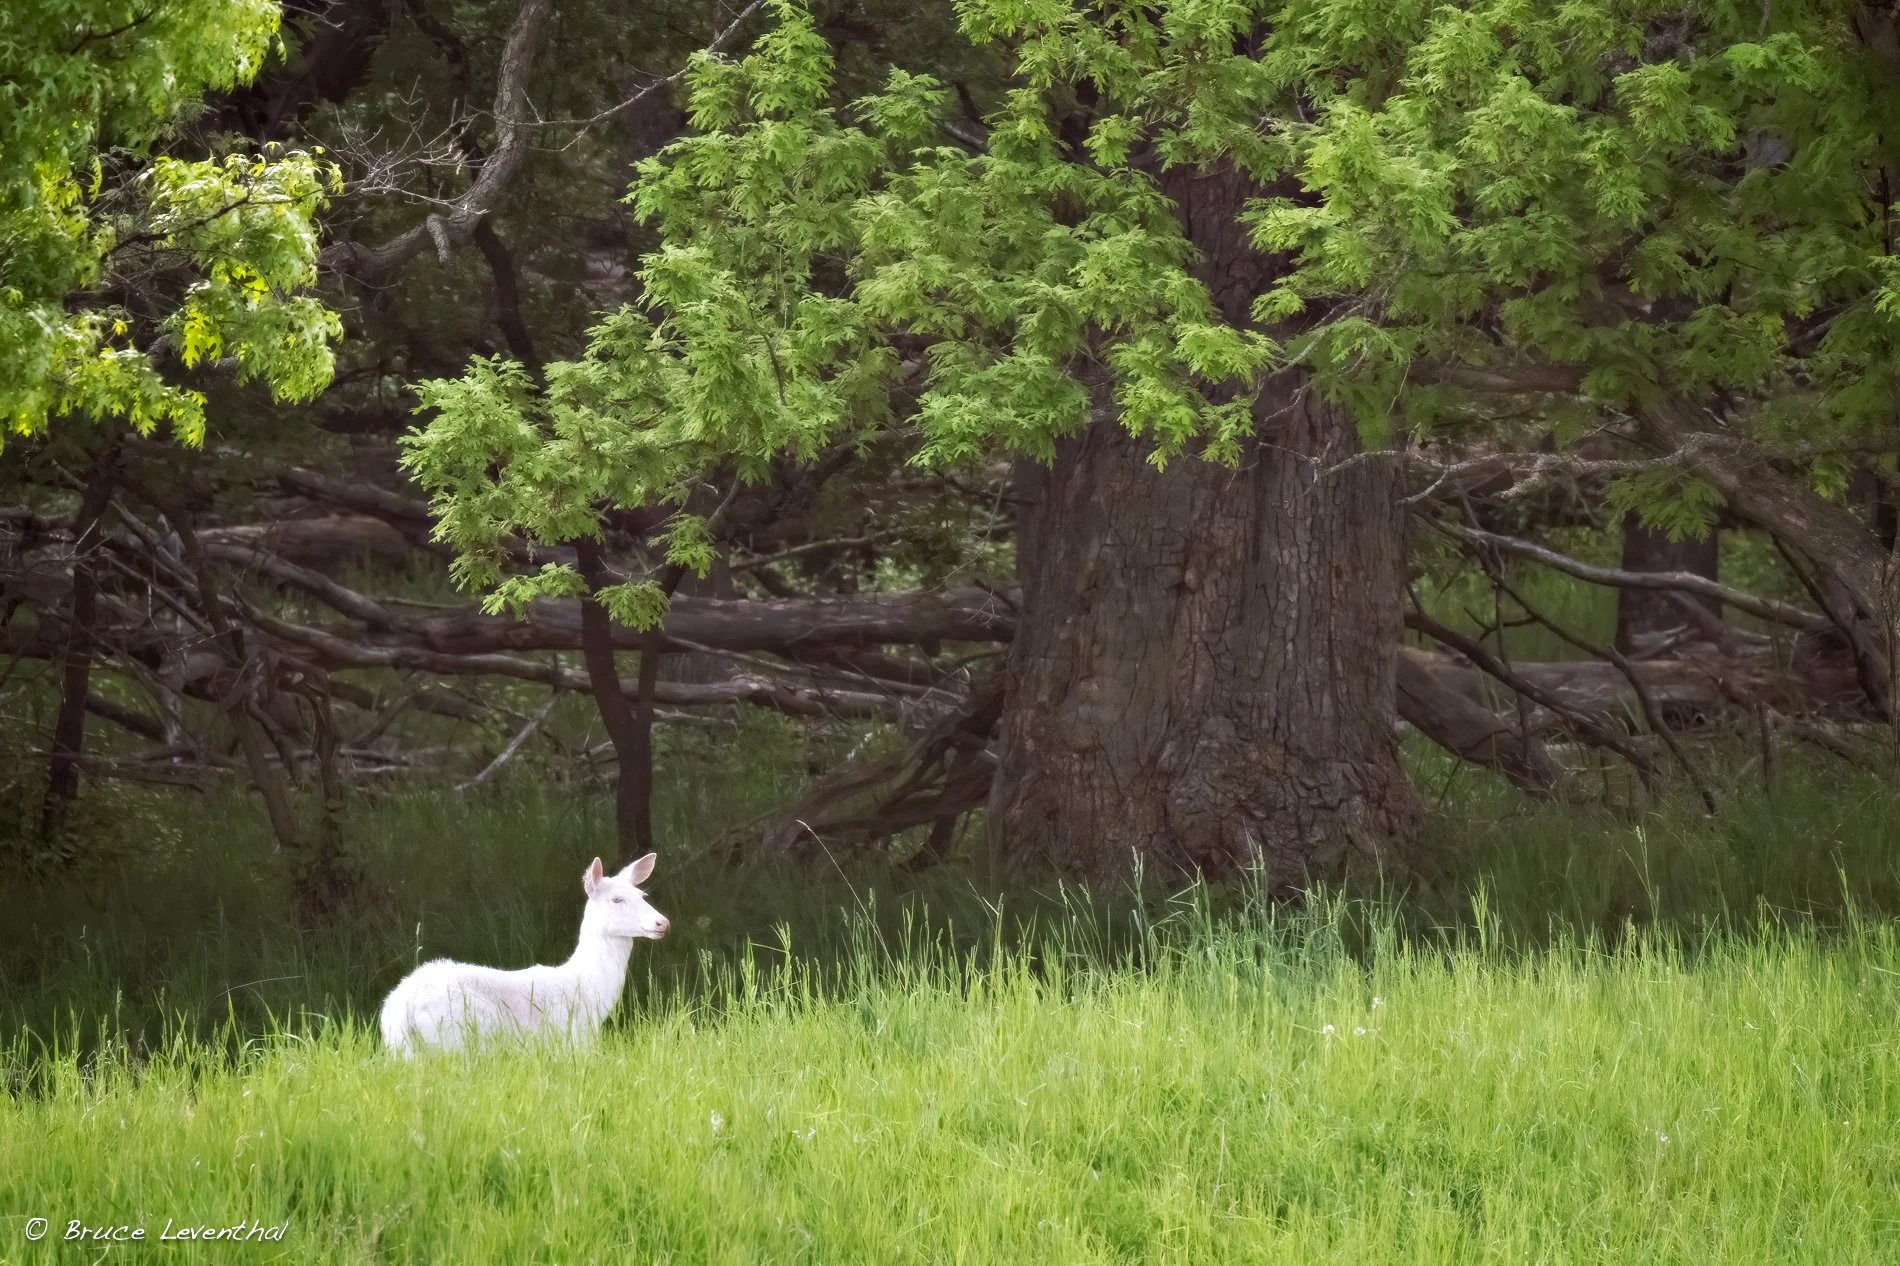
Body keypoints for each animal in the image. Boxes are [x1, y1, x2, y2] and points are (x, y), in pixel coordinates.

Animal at [379, 853, 669, 1056]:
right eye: (617, 899)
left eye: (642, 894)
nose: (662, 923)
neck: (587, 989)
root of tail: (402, 1005)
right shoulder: (571, 1041)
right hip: (455, 1037)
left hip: (405, 1050)